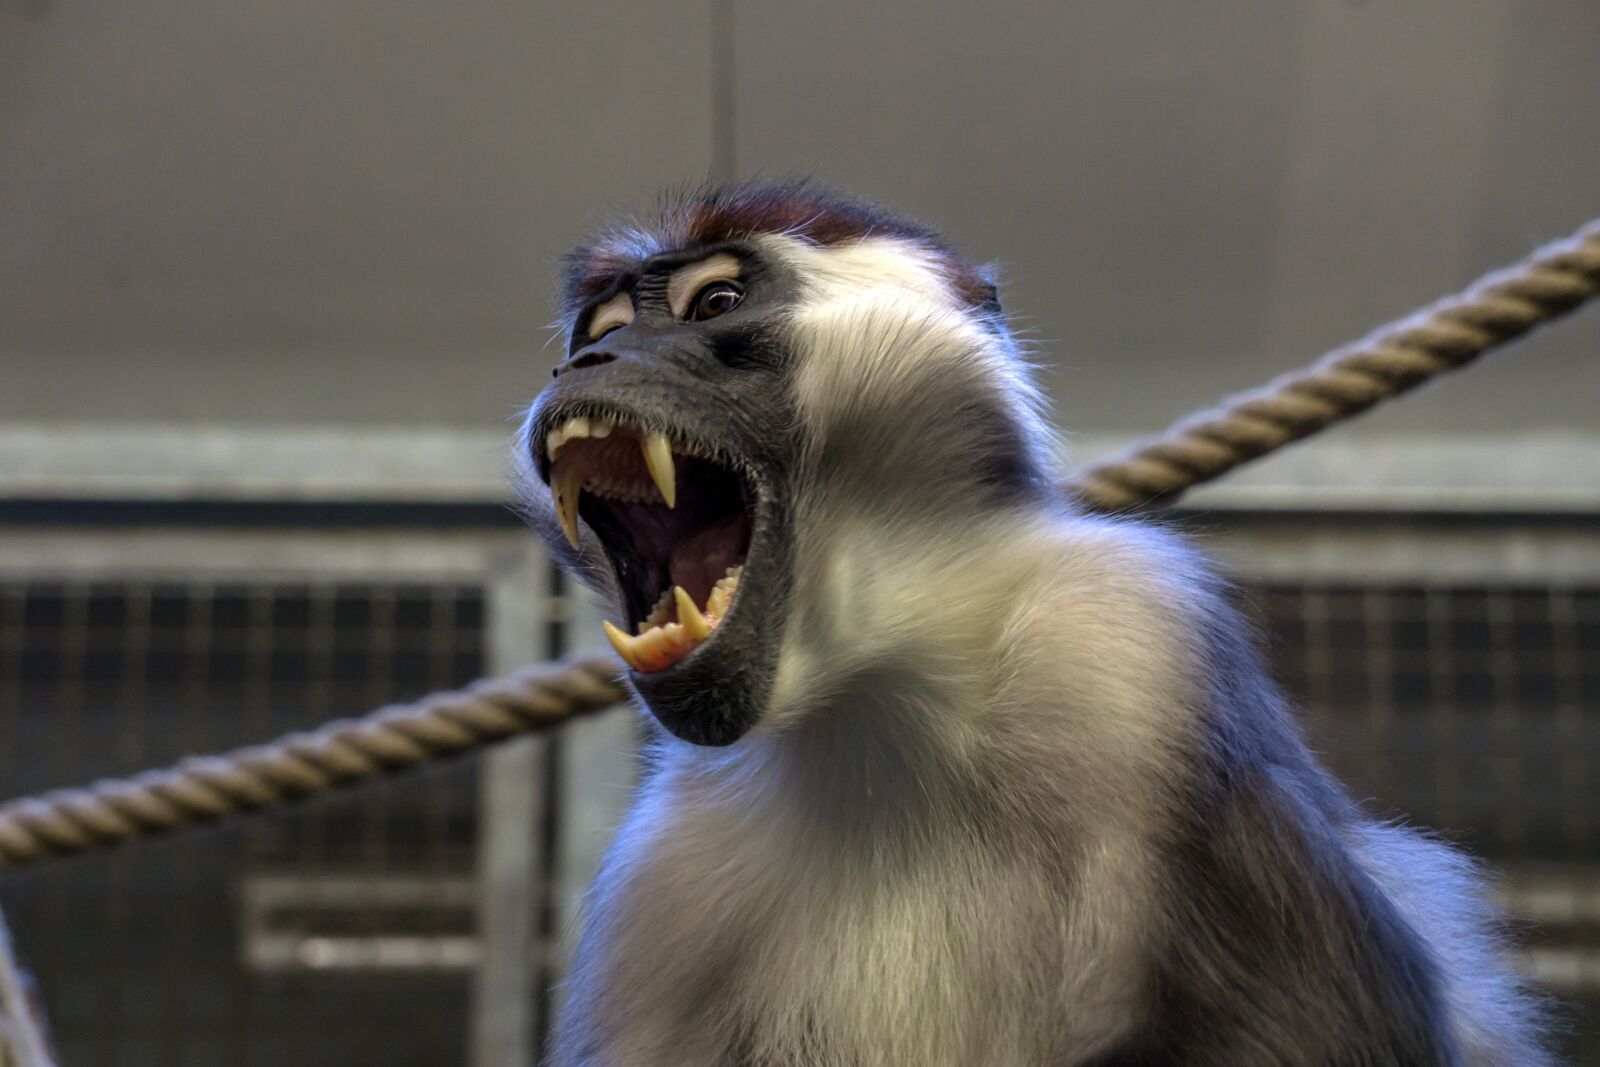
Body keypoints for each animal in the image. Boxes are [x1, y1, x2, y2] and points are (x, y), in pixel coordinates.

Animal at [515, 181, 1551, 1066]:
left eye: (716, 302)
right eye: (603, 332)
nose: (585, 364)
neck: (878, 704)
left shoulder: (1127, 639)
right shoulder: (665, 879)